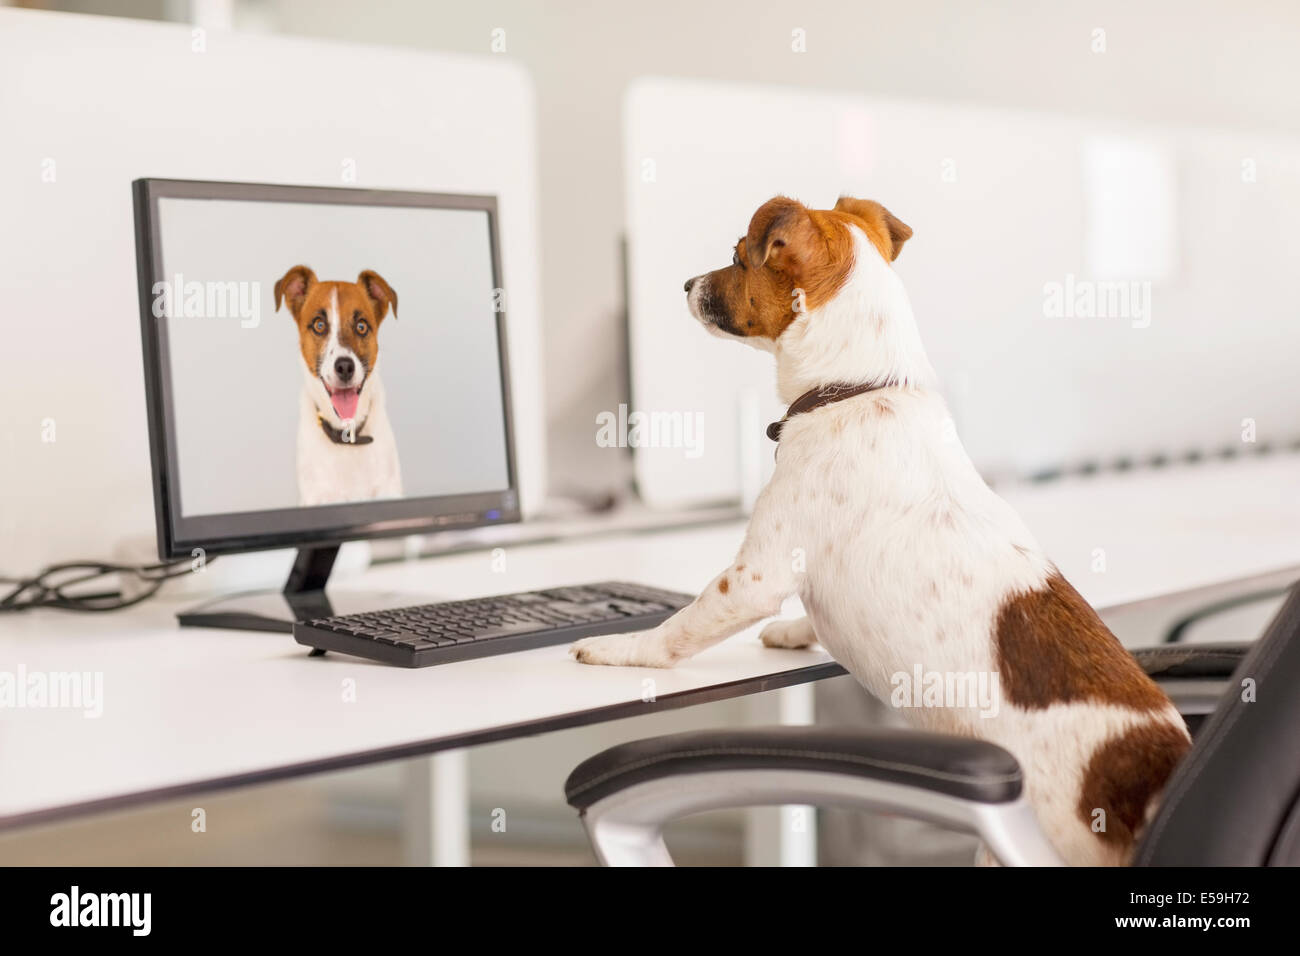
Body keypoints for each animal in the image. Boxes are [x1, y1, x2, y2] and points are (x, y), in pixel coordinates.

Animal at [574, 196, 1190, 868]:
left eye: (737, 256)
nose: (686, 284)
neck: (855, 389)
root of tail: (1148, 774)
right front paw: (793, 630)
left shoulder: (754, 575)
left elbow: (676, 630)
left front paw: (618, 649)